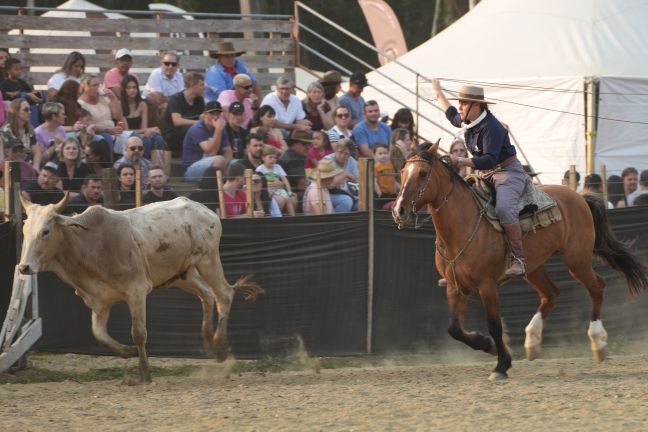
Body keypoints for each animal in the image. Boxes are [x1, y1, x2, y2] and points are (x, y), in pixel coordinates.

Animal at [390, 140, 648, 380]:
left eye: (423, 174)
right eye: (402, 172)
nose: (399, 210)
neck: (463, 225)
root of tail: (579, 196)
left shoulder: (487, 286)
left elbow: (494, 325)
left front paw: (501, 365)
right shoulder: (455, 286)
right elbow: (454, 329)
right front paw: (489, 346)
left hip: (577, 259)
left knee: (596, 287)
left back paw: (598, 343)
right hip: (533, 267)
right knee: (551, 294)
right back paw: (532, 341)